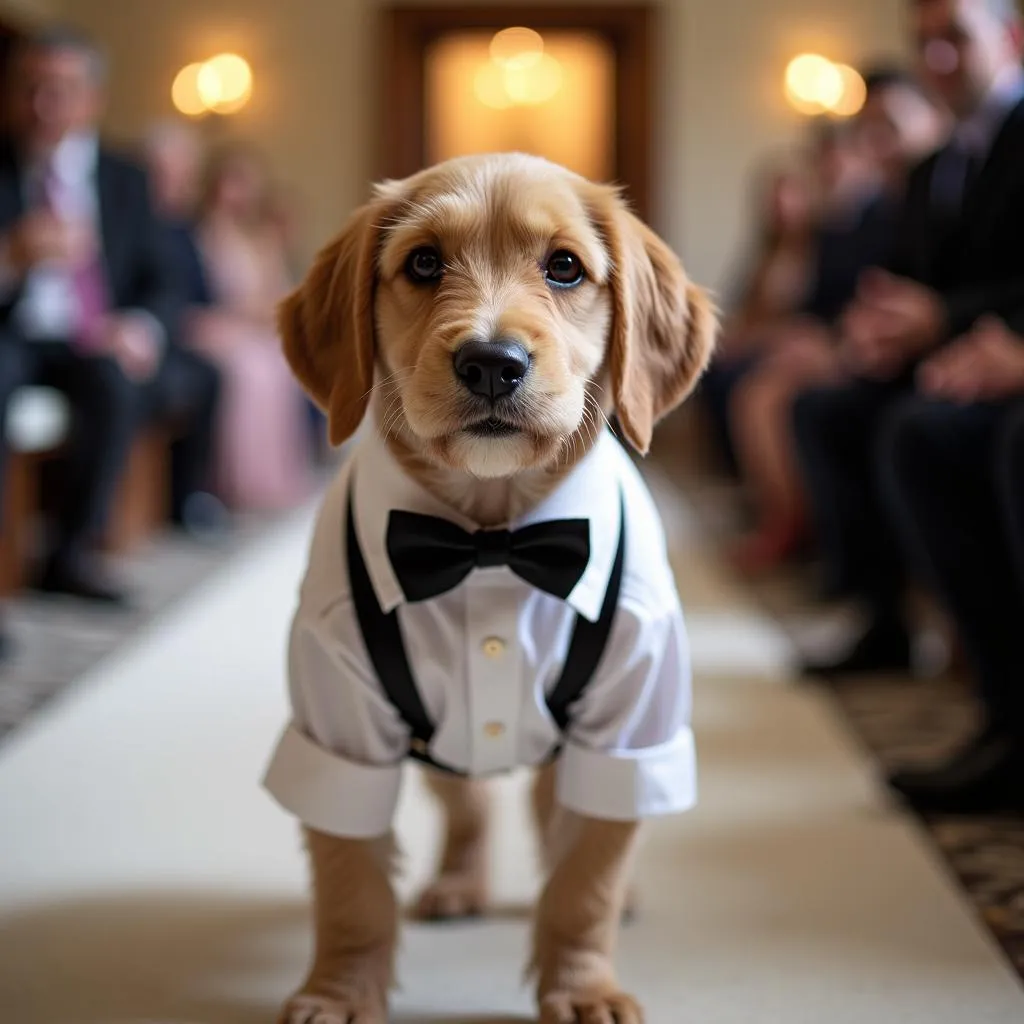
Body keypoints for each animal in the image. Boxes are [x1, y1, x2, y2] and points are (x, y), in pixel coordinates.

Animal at [264, 151, 712, 1024]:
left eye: (565, 267)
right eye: (423, 264)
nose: (492, 362)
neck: (490, 541)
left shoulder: (631, 717)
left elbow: (585, 880)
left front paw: (583, 986)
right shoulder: (340, 719)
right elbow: (352, 887)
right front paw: (339, 991)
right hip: (440, 747)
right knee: (469, 808)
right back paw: (458, 884)